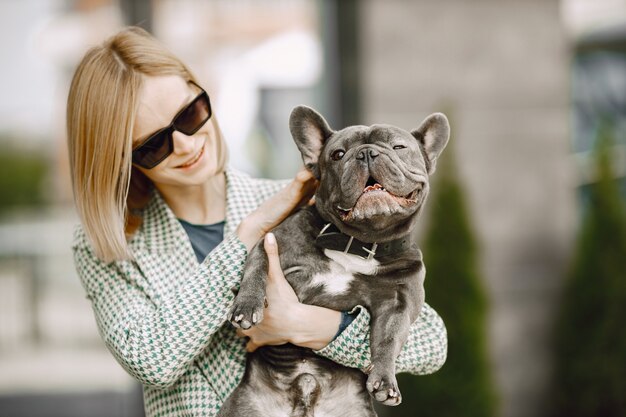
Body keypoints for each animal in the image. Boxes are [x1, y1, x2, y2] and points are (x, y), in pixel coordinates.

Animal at [217, 105, 446, 414]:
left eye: (398, 147)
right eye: (338, 154)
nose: (366, 153)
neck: (357, 245)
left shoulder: (398, 304)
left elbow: (389, 339)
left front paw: (385, 381)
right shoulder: (268, 244)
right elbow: (255, 270)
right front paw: (246, 306)